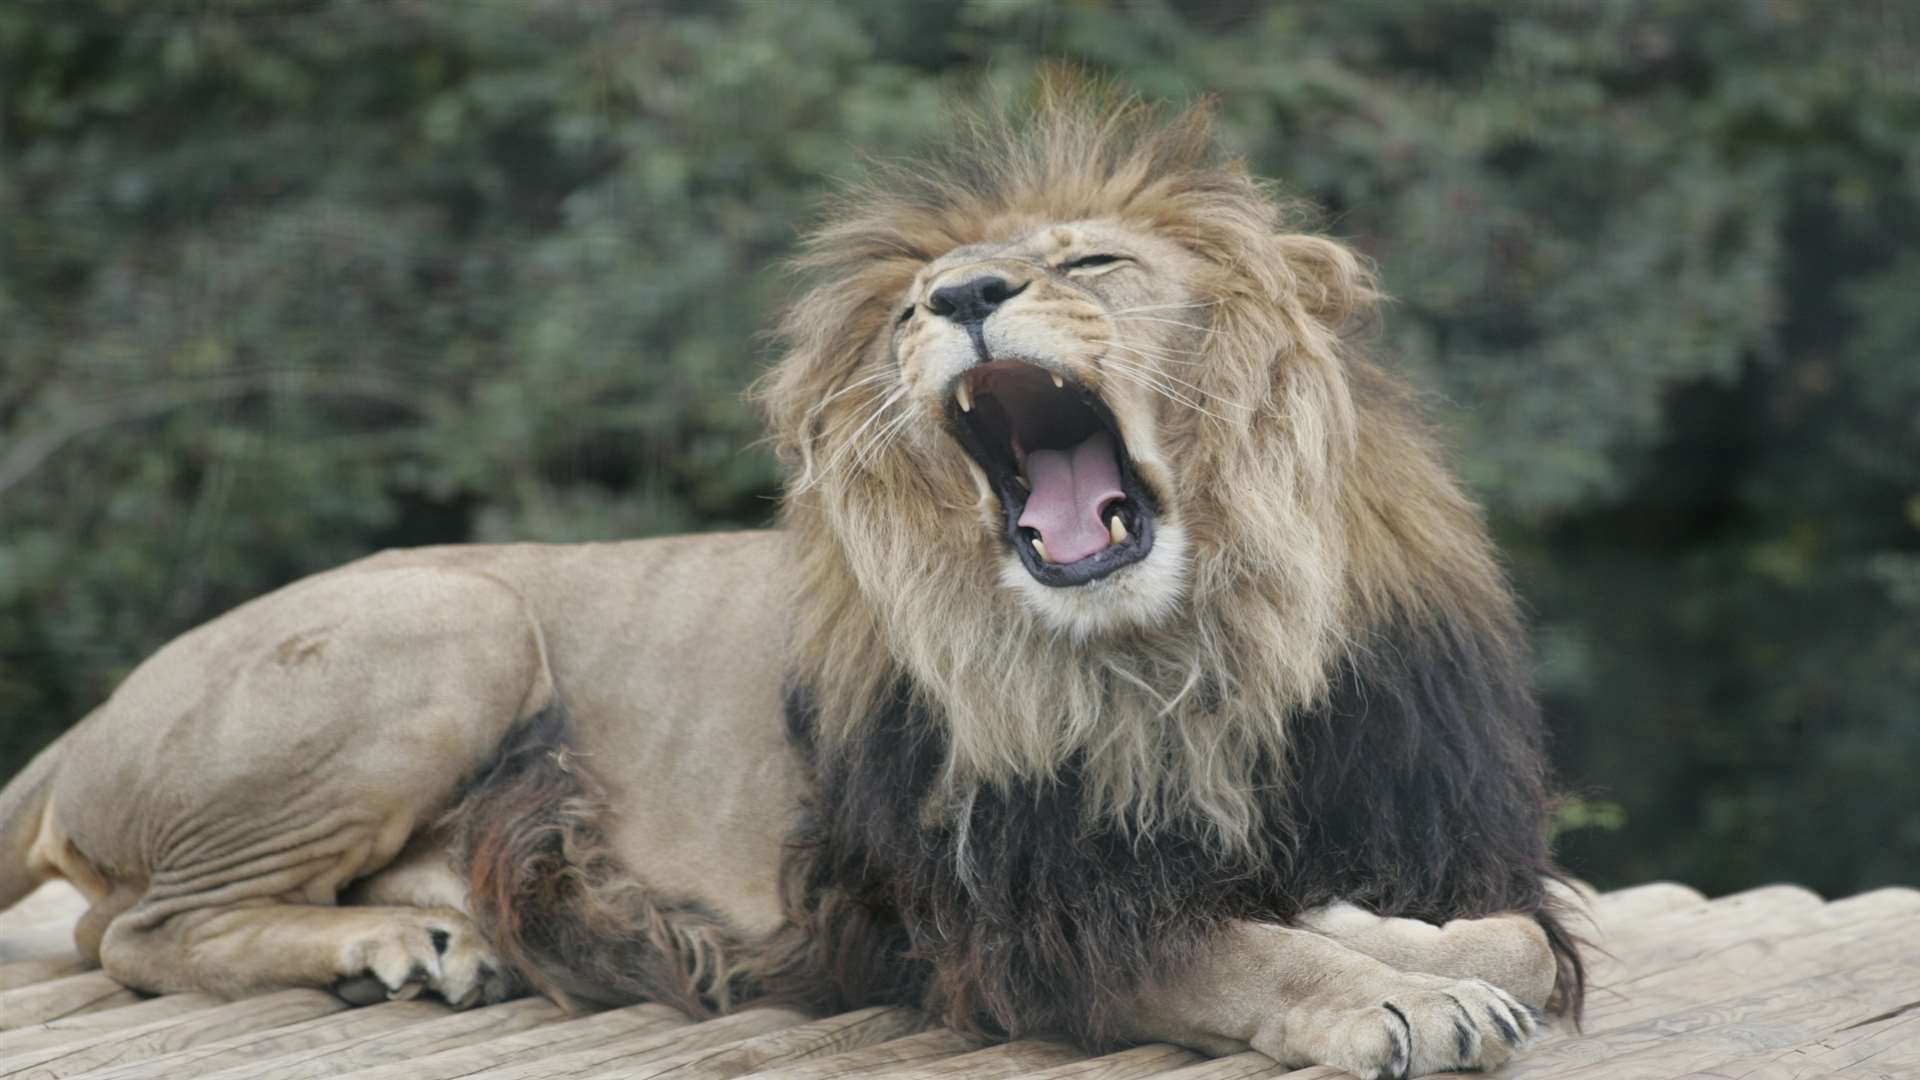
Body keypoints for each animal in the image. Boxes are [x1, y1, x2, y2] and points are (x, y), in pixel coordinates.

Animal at [0, 85, 1574, 1076]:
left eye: (1094, 263)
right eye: (910, 307)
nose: (961, 297)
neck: (1181, 656)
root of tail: (85, 726)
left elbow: (1524, 935)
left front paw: (1388, 935)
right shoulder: (991, 923)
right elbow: (1236, 959)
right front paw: (1382, 993)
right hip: (456, 618)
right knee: (129, 929)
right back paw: (401, 946)